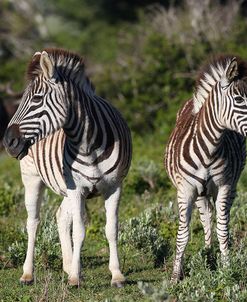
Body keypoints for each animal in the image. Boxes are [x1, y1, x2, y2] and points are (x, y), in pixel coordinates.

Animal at [2, 48, 132, 286]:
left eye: (36, 99)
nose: (8, 142)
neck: (89, 143)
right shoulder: (77, 188)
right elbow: (79, 231)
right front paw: (74, 278)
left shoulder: (114, 187)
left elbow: (111, 229)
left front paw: (116, 274)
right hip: (33, 179)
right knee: (33, 223)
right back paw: (28, 273)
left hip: (67, 187)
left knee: (61, 217)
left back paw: (69, 264)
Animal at [164, 54, 247, 284]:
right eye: (239, 100)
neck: (209, 149)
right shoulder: (185, 190)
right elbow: (183, 234)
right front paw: (175, 277)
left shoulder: (225, 186)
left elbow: (223, 230)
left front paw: (227, 270)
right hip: (200, 192)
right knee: (206, 217)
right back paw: (208, 255)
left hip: (230, 187)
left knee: (217, 217)